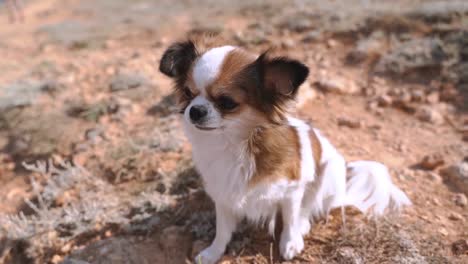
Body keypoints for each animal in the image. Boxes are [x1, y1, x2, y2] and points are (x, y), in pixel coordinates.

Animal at [160, 41, 410, 264]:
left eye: (227, 102)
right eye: (188, 93)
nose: (195, 111)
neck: (234, 144)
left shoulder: (291, 191)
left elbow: (290, 218)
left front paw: (290, 243)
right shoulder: (223, 194)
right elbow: (222, 230)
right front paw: (213, 253)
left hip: (326, 175)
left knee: (310, 206)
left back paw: (303, 225)